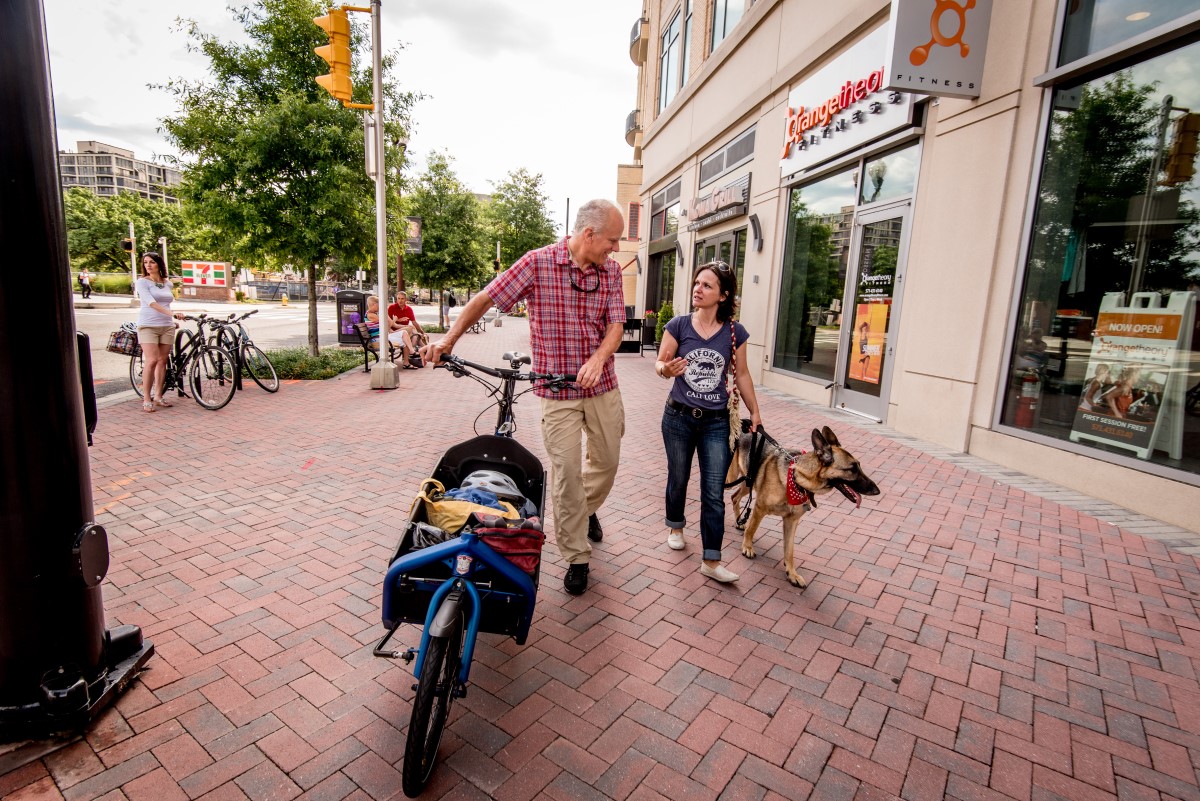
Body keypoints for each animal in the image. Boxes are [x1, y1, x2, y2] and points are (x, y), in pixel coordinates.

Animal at [720, 424, 883, 587]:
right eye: (851, 469)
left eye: (859, 466)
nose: (877, 491)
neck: (797, 480)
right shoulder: (760, 508)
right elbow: (752, 529)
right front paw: (747, 547)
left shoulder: (791, 521)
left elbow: (790, 551)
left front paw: (792, 573)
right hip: (731, 478)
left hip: (748, 481)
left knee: (734, 497)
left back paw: (739, 522)